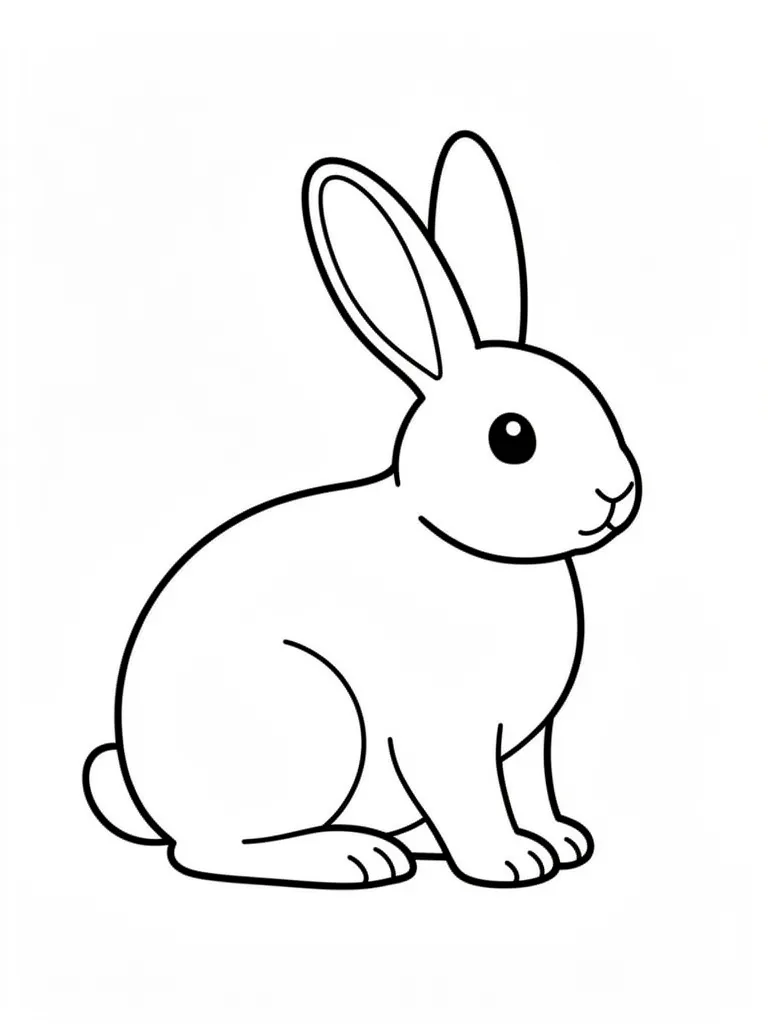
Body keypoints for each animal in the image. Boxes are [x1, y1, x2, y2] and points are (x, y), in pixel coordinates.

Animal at [83, 130, 641, 889]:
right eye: (512, 437)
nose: (620, 492)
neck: (460, 544)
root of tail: (147, 791)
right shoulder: (448, 733)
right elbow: (471, 798)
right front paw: (510, 860)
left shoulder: (526, 743)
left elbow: (530, 788)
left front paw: (560, 841)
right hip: (309, 719)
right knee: (211, 851)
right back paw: (356, 855)